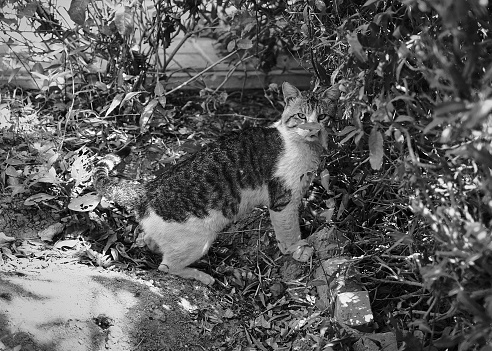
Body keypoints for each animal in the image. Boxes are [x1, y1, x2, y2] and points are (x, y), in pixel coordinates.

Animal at [91, 82, 338, 286]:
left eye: (322, 117)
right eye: (301, 116)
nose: (314, 129)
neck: (303, 146)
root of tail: (148, 190)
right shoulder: (283, 200)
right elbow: (289, 232)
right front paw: (297, 250)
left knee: (151, 242)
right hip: (199, 240)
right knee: (166, 267)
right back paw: (201, 276)